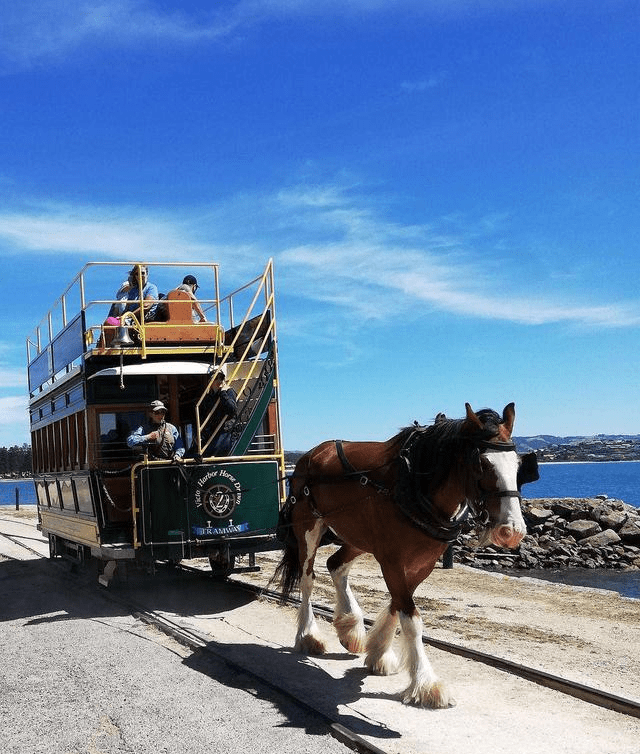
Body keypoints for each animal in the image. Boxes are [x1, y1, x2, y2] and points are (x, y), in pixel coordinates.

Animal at [272, 400, 536, 704]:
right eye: (482, 463)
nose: (511, 530)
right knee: (307, 579)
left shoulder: (422, 563)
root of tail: (312, 454)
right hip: (308, 528)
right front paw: (426, 683)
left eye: (518, 465)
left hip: (359, 536)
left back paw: (350, 626)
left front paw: (379, 652)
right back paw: (308, 636)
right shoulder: (391, 560)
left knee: (336, 565)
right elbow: (410, 618)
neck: (415, 486)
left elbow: (399, 604)